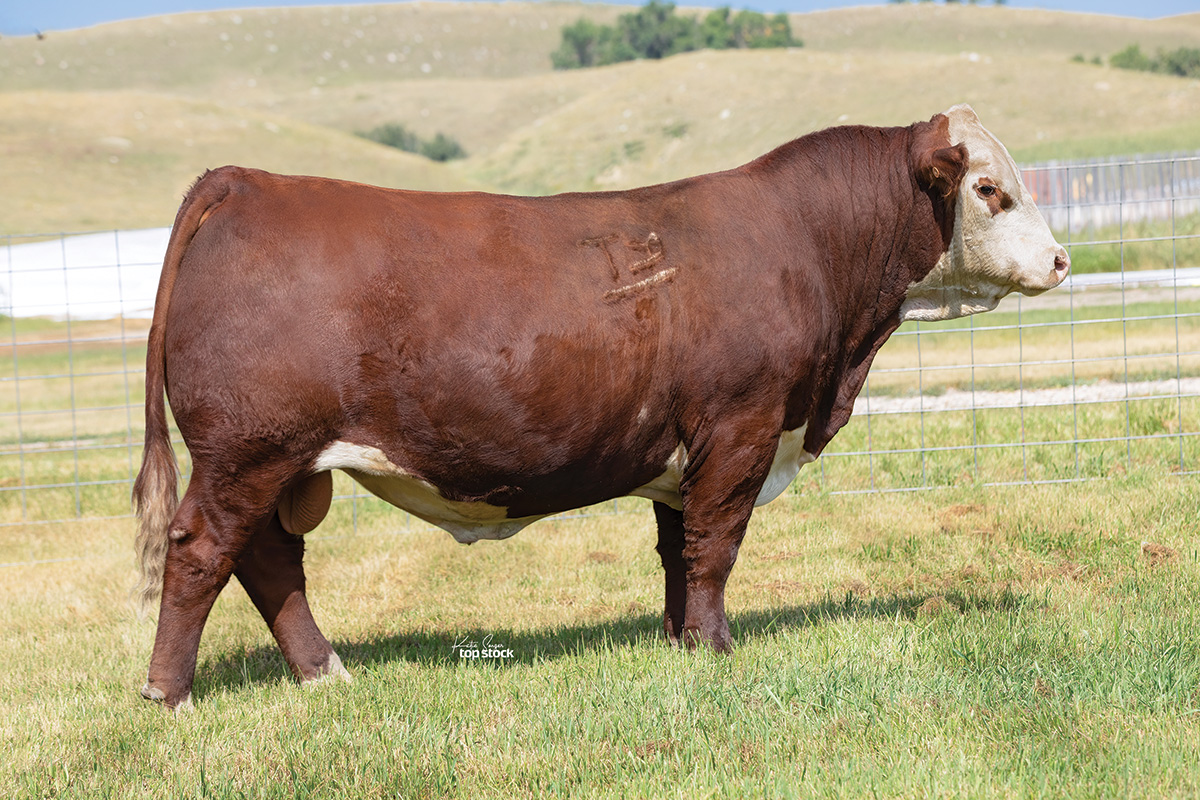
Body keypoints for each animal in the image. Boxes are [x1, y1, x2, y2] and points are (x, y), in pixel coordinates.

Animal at [133, 104, 1070, 705]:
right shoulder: (742, 428)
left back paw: (323, 674)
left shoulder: (688, 449)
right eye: (990, 190)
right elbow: (715, 548)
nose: (1062, 260)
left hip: (276, 462)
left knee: (267, 562)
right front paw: (717, 650)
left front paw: (681, 643)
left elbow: (677, 552)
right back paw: (169, 694)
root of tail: (247, 181)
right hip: (248, 452)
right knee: (202, 550)